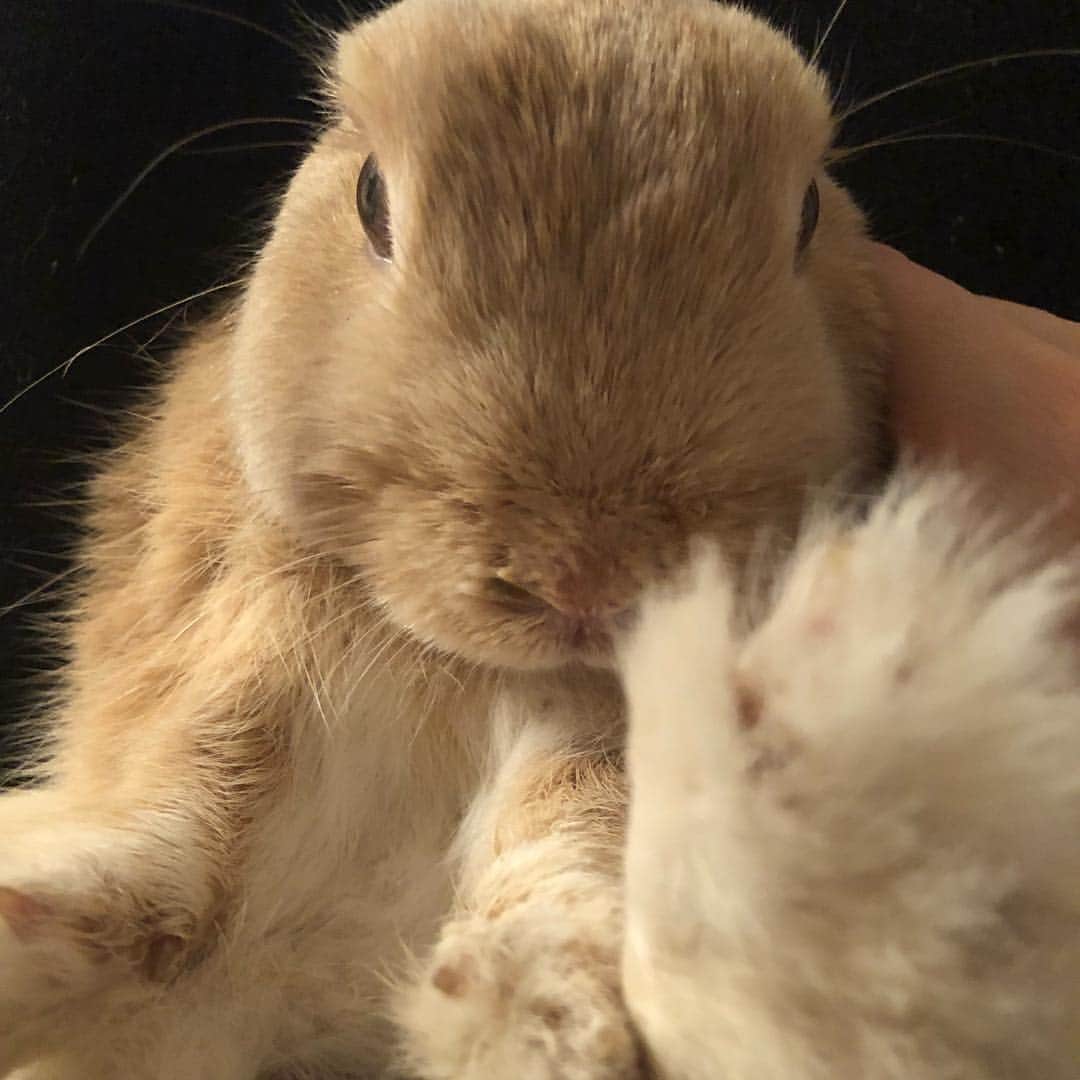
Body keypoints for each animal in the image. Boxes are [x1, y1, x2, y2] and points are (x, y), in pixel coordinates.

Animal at [4, 0, 1077, 1077]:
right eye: (369, 197)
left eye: (810, 212)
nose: (585, 577)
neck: (460, 668)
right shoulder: (232, 654)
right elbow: (187, 815)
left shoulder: (590, 726)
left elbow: (574, 828)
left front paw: (536, 1011)